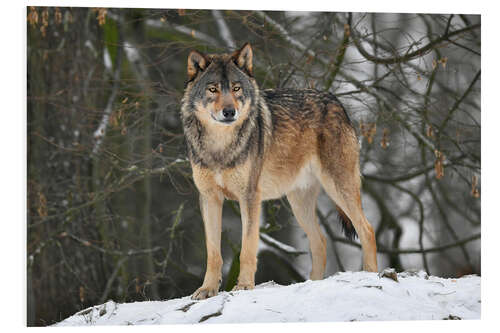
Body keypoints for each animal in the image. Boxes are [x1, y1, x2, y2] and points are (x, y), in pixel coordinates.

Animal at [182, 42, 376, 300]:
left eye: (236, 88)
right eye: (213, 89)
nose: (229, 112)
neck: (220, 147)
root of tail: (335, 100)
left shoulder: (250, 198)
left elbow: (247, 248)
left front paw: (244, 286)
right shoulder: (209, 198)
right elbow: (213, 252)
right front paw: (207, 289)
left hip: (338, 188)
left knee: (367, 229)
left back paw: (371, 275)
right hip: (298, 203)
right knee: (320, 242)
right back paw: (312, 284)